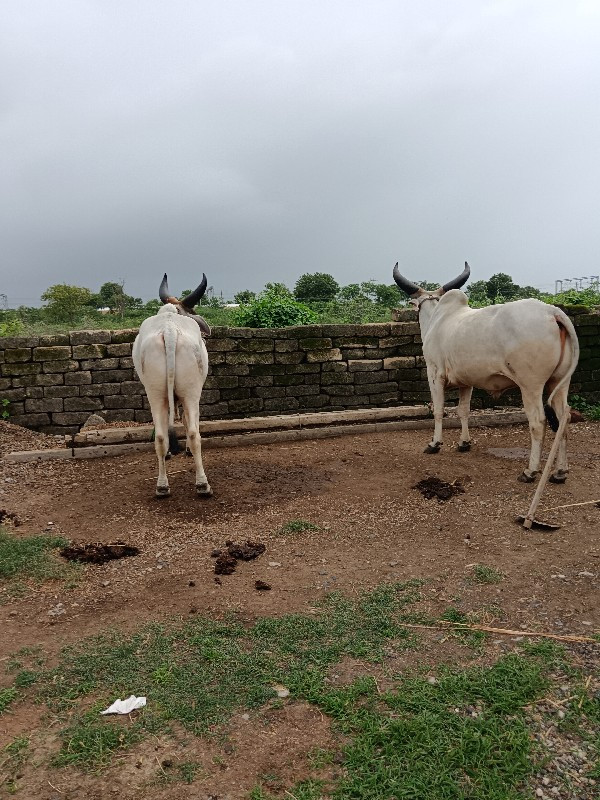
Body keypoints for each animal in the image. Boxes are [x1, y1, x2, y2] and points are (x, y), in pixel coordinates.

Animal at [132, 276, 212, 500]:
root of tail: (169, 330)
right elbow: (186, 421)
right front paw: (186, 450)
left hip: (154, 392)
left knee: (160, 437)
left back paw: (162, 486)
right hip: (192, 391)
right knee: (194, 433)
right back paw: (203, 484)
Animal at [392, 266, 580, 484]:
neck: (436, 318)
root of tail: (552, 312)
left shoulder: (435, 374)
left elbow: (438, 410)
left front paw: (434, 444)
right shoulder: (466, 381)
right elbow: (463, 410)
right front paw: (464, 443)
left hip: (530, 385)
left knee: (538, 422)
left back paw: (530, 471)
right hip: (559, 383)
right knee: (563, 420)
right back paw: (560, 472)